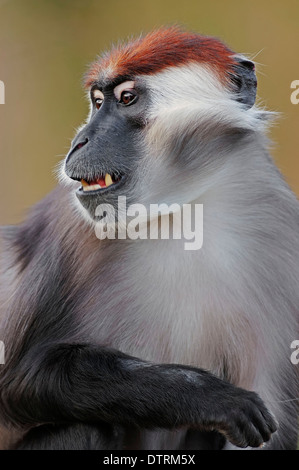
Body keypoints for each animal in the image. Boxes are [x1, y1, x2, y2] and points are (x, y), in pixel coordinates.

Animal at [0, 26, 299, 452]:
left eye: (127, 98)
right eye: (97, 102)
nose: (80, 141)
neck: (183, 215)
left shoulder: (280, 230)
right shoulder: (69, 231)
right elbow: (24, 381)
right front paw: (210, 396)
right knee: (88, 427)